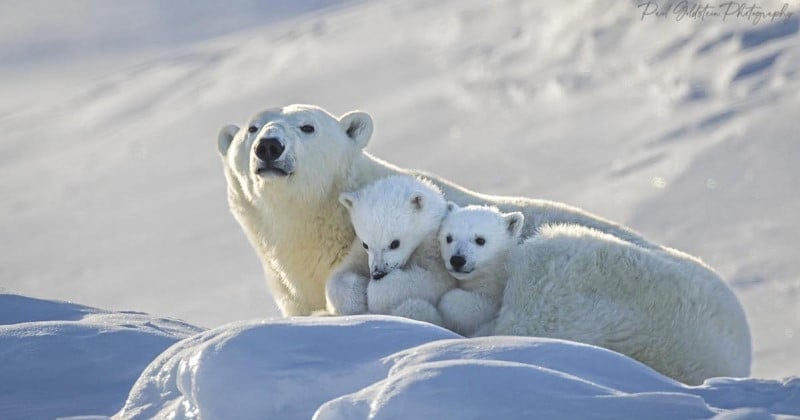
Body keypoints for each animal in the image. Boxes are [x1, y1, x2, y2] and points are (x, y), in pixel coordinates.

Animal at [324, 175, 454, 324]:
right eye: (365, 244)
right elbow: (340, 274)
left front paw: (374, 294)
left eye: (394, 243)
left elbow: (432, 279)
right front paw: (358, 296)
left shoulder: (433, 250)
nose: (377, 273)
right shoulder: (359, 253)